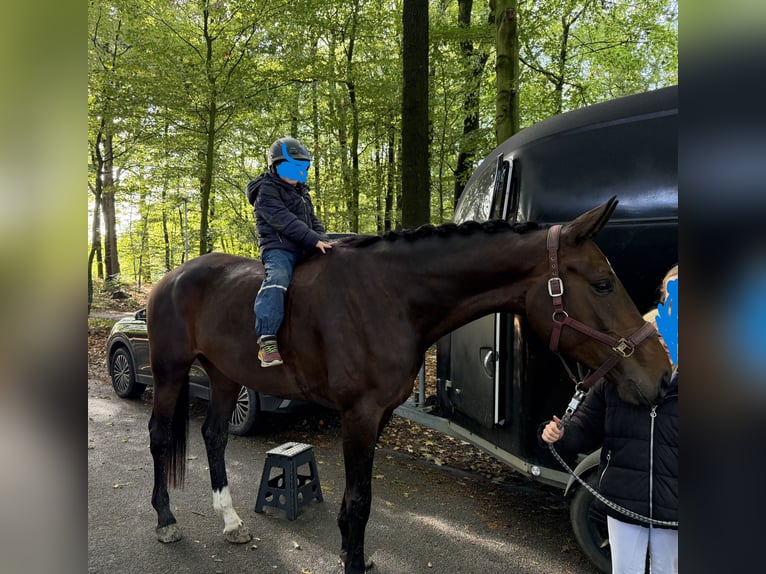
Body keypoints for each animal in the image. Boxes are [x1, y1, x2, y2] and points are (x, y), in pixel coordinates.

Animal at [146, 196, 671, 573]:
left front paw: (352, 554)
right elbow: (360, 501)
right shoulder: (358, 415)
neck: (391, 298)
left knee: (213, 435)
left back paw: (230, 520)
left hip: (223, 376)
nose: (661, 375)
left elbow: (353, 500)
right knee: (159, 437)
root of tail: (169, 277)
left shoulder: (378, 416)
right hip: (171, 371)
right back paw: (166, 520)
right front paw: (353, 562)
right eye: (603, 283)